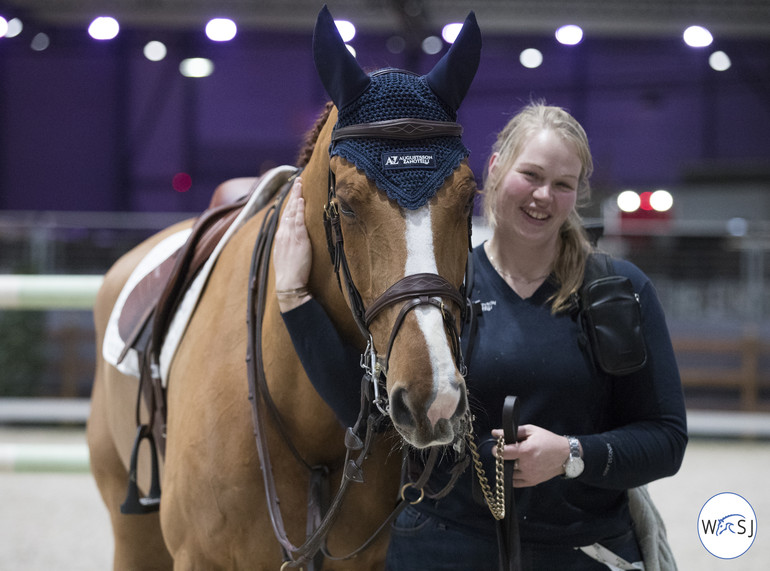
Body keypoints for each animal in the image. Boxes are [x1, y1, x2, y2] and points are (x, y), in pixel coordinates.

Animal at [87, 6, 476, 568]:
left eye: (469, 198)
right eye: (349, 203)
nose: (435, 397)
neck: (304, 416)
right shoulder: (197, 556)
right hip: (131, 529)